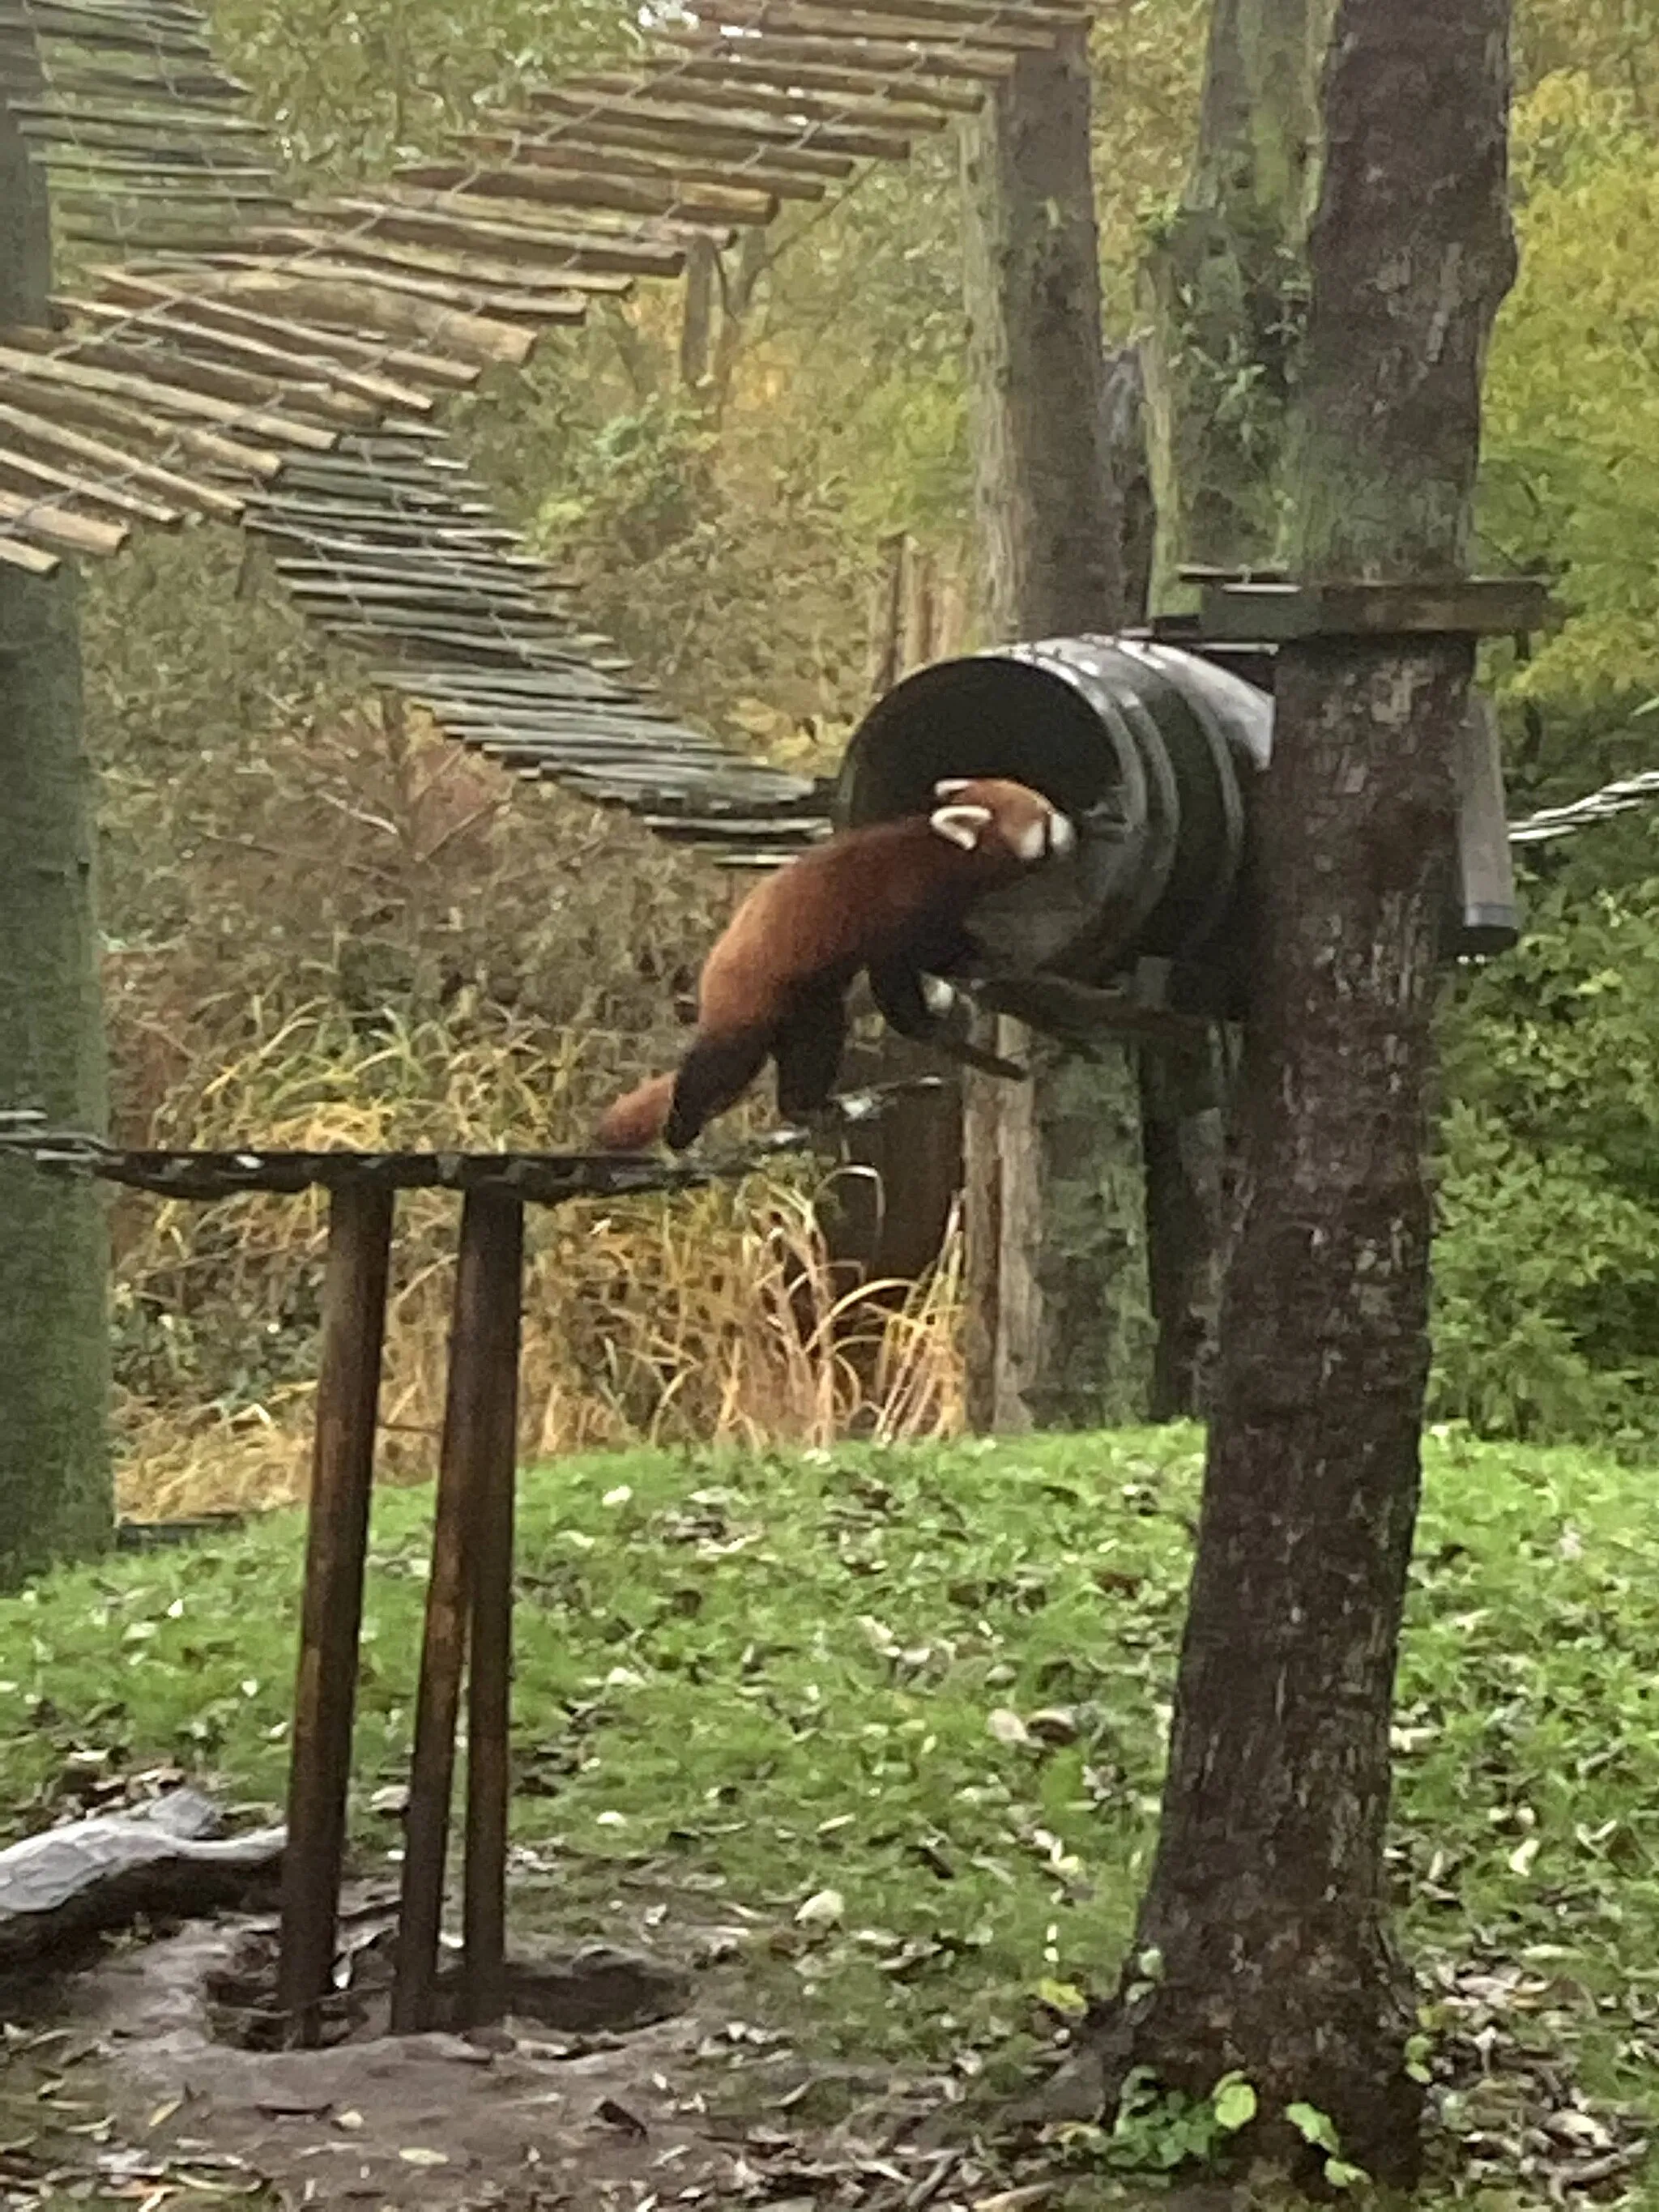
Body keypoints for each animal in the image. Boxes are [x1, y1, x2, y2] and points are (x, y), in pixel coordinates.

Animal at [597, 782, 1079, 1159]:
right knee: (722, 1065)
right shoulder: (903, 906)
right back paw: (680, 1128)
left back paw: (805, 1107)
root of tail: (715, 964)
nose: (1072, 824)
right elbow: (903, 983)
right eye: (1045, 815)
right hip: (751, 992)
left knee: (814, 1048)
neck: (943, 852)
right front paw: (941, 1021)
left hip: (810, 1007)